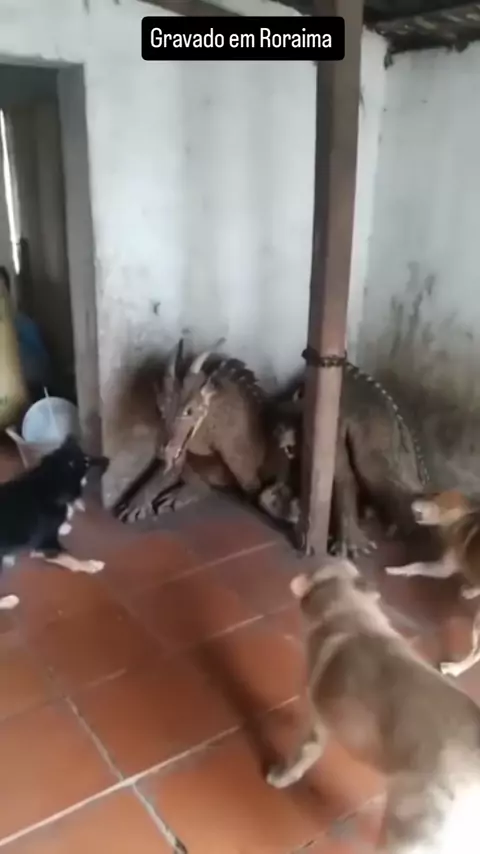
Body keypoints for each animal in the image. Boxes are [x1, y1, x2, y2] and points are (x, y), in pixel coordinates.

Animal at [0, 435, 109, 610]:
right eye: (87, 462)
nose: (107, 459)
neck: (49, 481)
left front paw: (64, 526)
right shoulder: (46, 545)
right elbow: (71, 559)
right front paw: (90, 565)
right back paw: (9, 600)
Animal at [385, 490, 480, 676]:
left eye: (434, 498)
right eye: (433, 494)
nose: (412, 500)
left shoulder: (443, 569)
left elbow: (416, 565)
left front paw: (396, 570)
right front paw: (471, 591)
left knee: (476, 654)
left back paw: (454, 668)